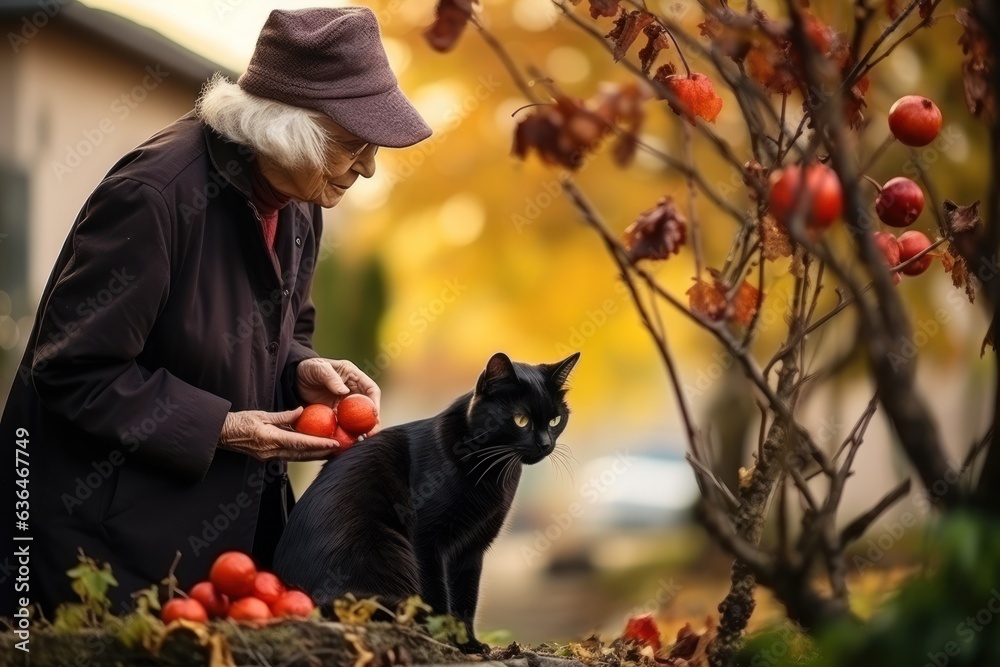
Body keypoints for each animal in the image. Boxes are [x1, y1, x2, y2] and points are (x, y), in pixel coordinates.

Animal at [274, 352, 584, 648]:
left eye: (555, 420)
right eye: (521, 420)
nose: (545, 444)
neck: (492, 469)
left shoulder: (472, 549)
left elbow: (466, 599)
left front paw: (469, 644)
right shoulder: (427, 540)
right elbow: (437, 595)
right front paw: (445, 639)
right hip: (387, 549)